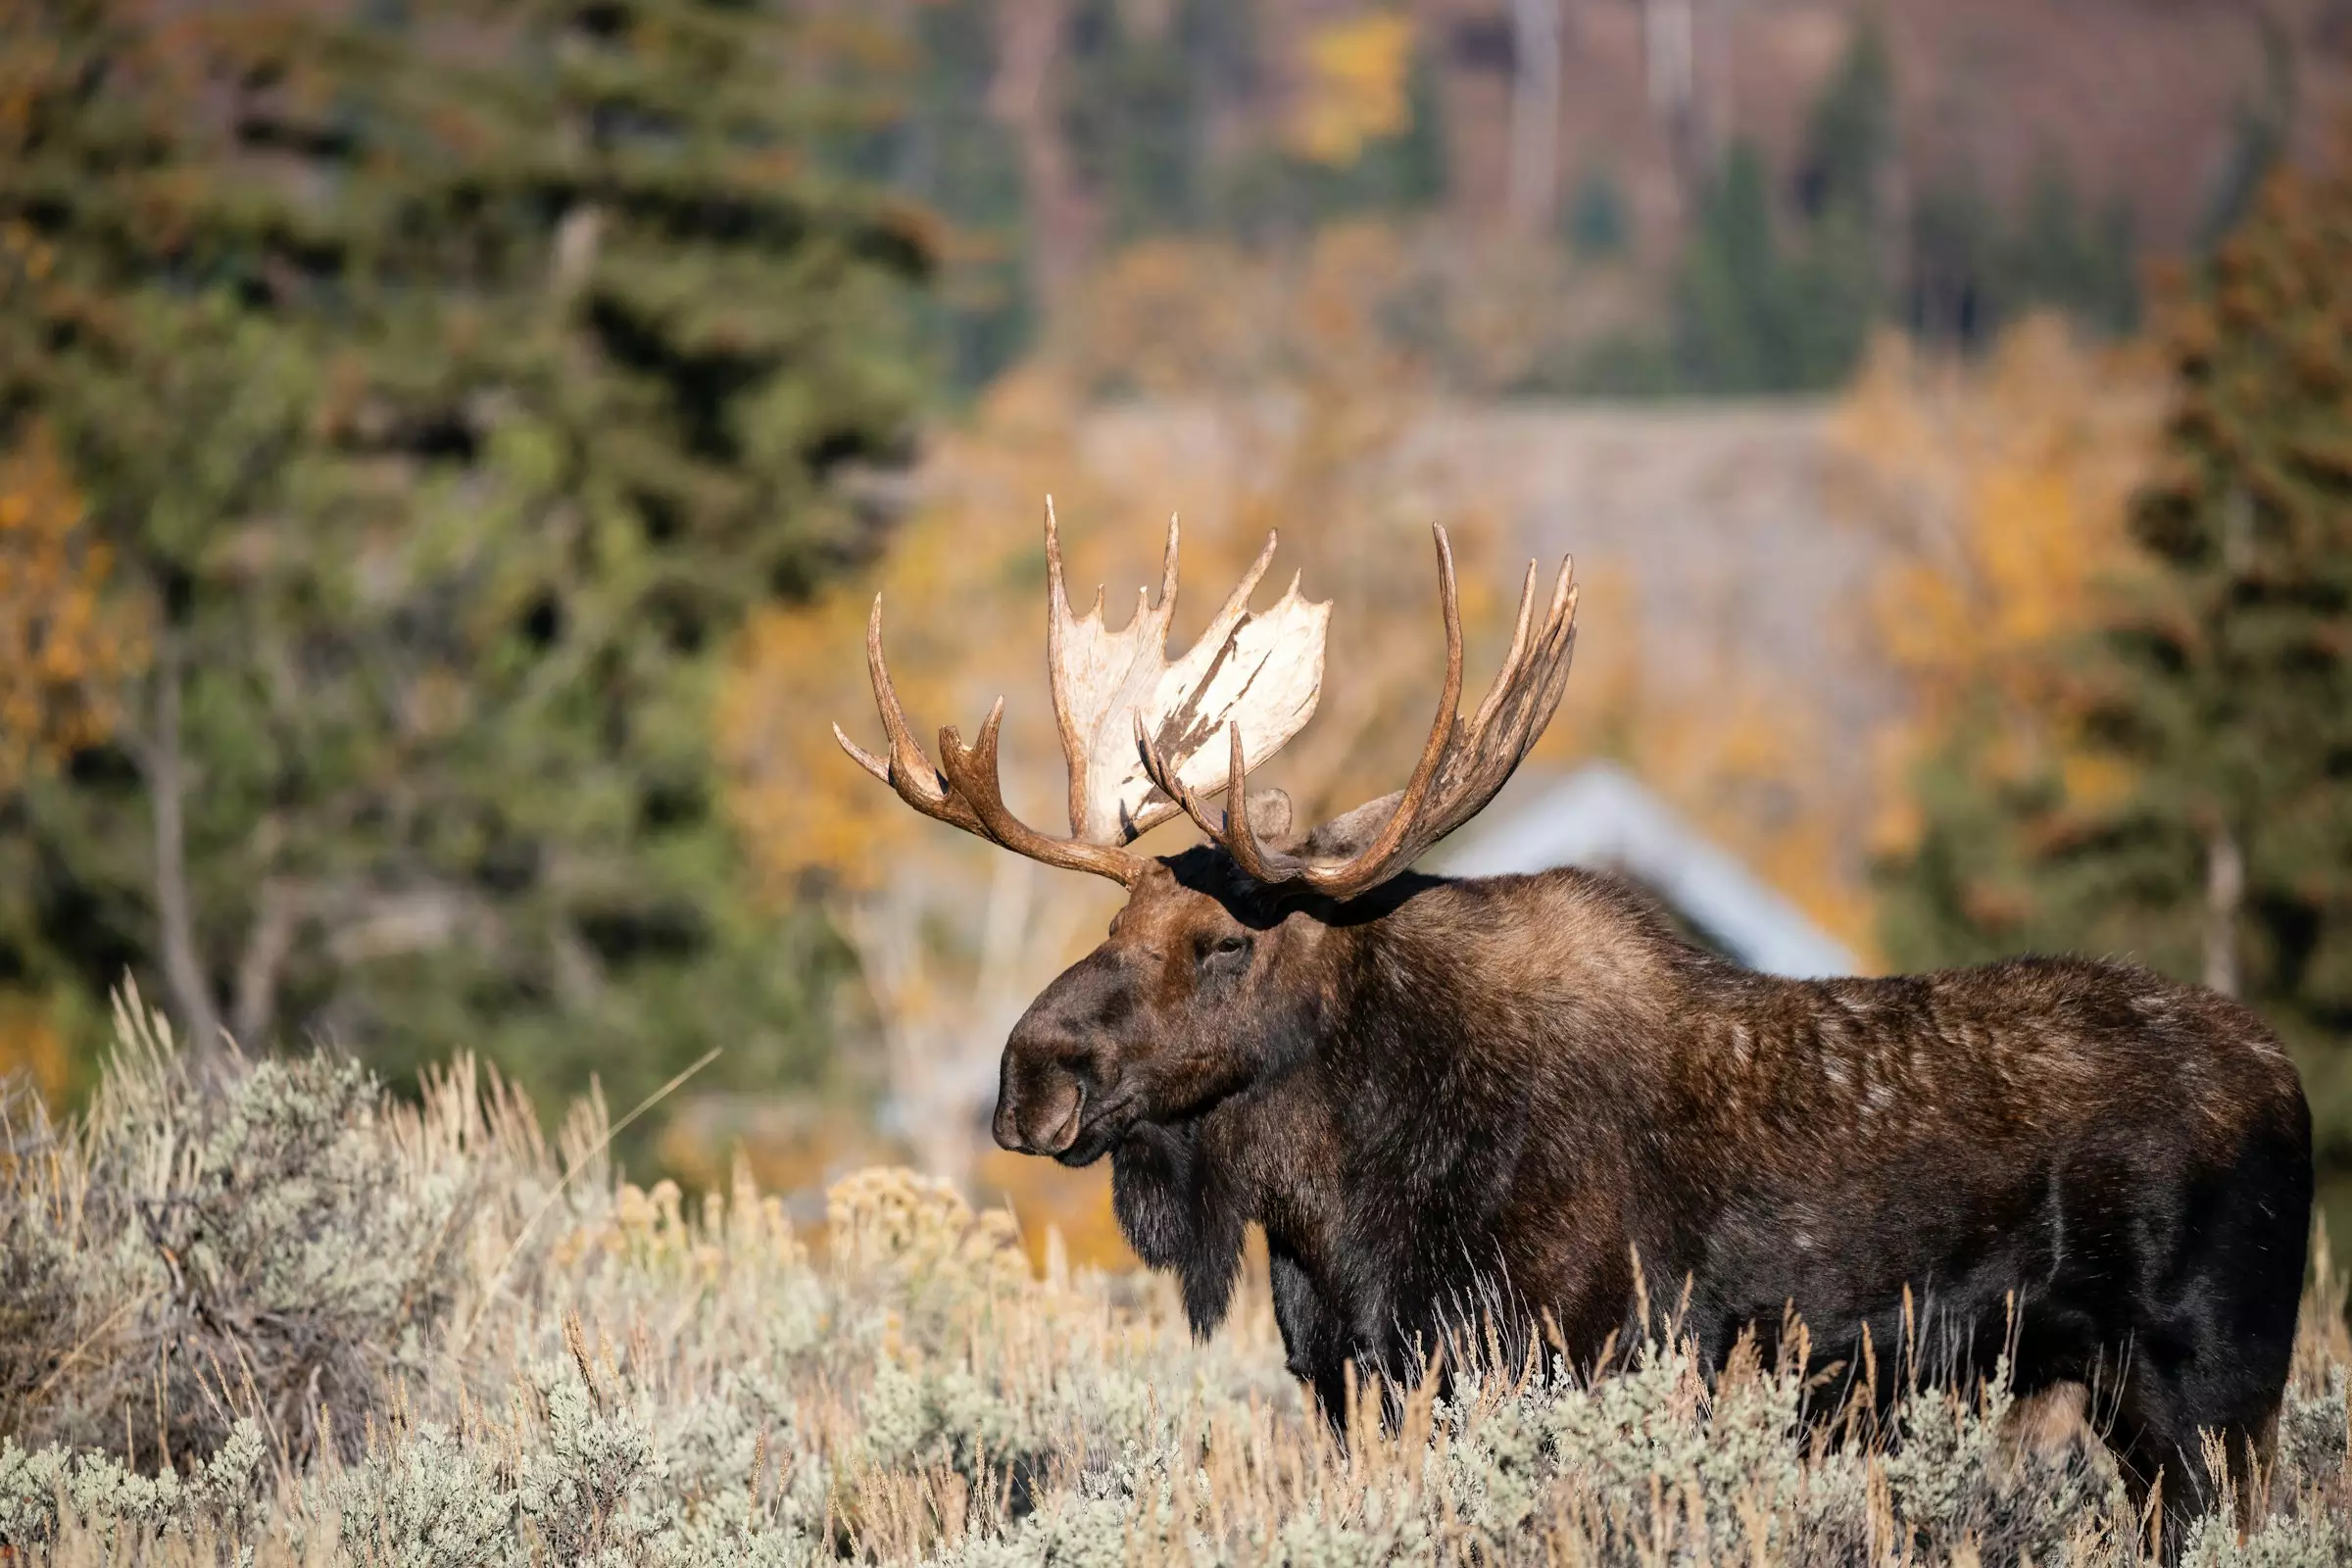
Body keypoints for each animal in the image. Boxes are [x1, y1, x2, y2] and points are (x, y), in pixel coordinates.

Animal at [837, 512, 2305, 1533]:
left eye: (1225, 944)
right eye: (1110, 927)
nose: (1029, 1076)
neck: (1338, 1206)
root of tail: (2288, 1082)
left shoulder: (1569, 1355)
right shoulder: (1351, 1380)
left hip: (2214, 1384)